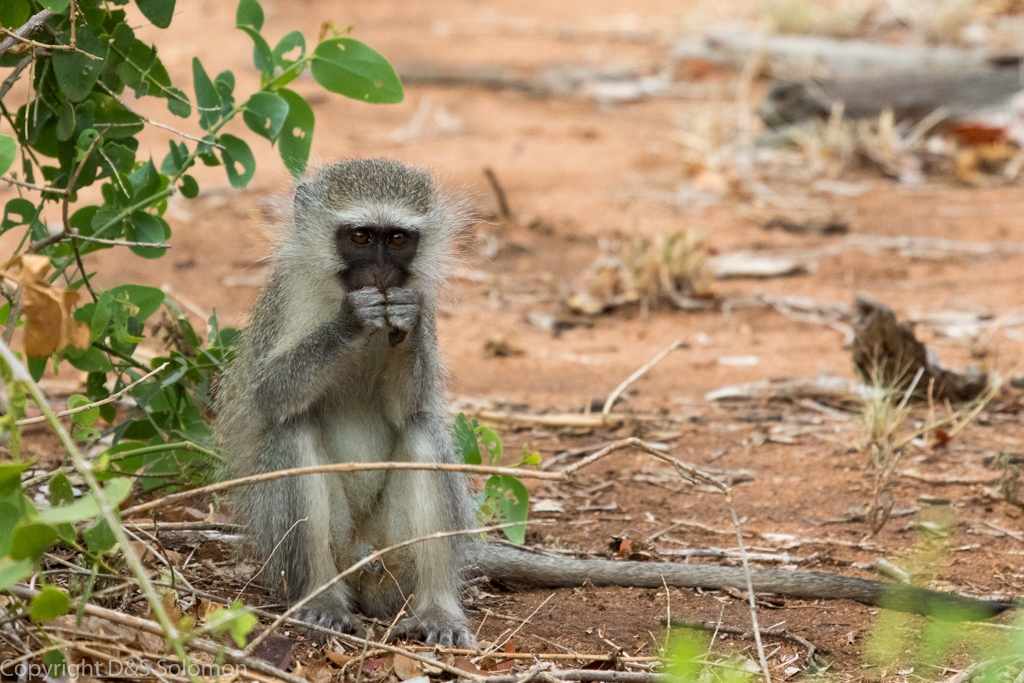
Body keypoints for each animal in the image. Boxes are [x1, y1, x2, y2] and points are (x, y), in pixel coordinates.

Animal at [218, 157, 1015, 651]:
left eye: (397, 239)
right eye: (360, 237)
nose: (382, 276)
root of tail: (364, 569)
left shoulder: (427, 307)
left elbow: (413, 402)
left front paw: (393, 319)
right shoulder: (287, 295)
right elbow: (268, 395)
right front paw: (353, 321)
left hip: (391, 559)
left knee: (420, 439)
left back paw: (438, 609)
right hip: (320, 552)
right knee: (292, 433)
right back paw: (319, 601)